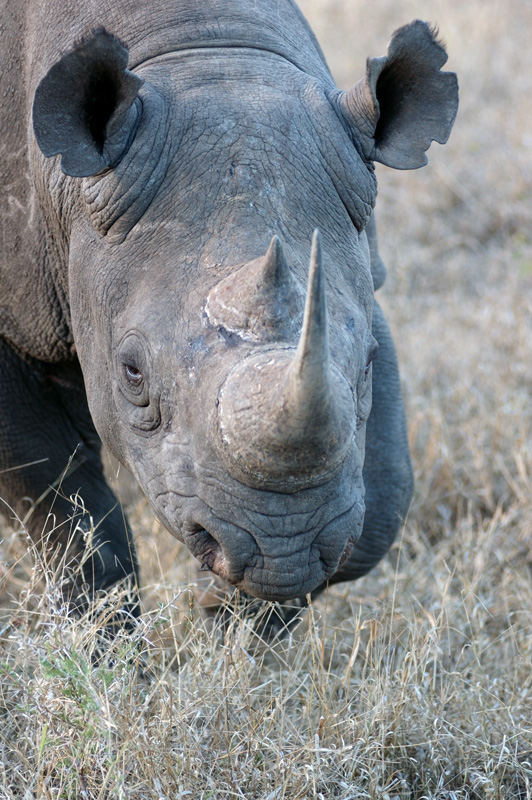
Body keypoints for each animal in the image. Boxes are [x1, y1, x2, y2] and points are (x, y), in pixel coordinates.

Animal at [0, 1, 458, 624]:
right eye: (132, 374)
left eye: (366, 364)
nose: (281, 546)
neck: (205, 53)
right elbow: (61, 505)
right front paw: (106, 638)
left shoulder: (364, 270)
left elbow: (383, 498)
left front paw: (233, 612)